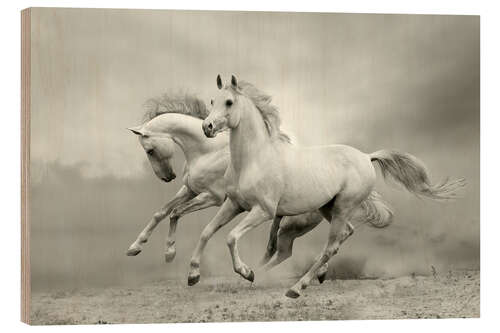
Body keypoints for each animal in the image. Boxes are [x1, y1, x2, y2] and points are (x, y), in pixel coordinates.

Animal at [196, 74, 464, 296]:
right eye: (212, 100)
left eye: (229, 102)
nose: (207, 127)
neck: (254, 159)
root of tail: (367, 157)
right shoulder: (234, 204)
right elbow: (207, 232)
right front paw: (193, 274)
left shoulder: (263, 211)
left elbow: (230, 237)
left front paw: (247, 272)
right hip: (329, 208)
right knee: (344, 234)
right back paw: (311, 276)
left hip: (342, 207)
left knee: (331, 246)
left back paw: (296, 287)